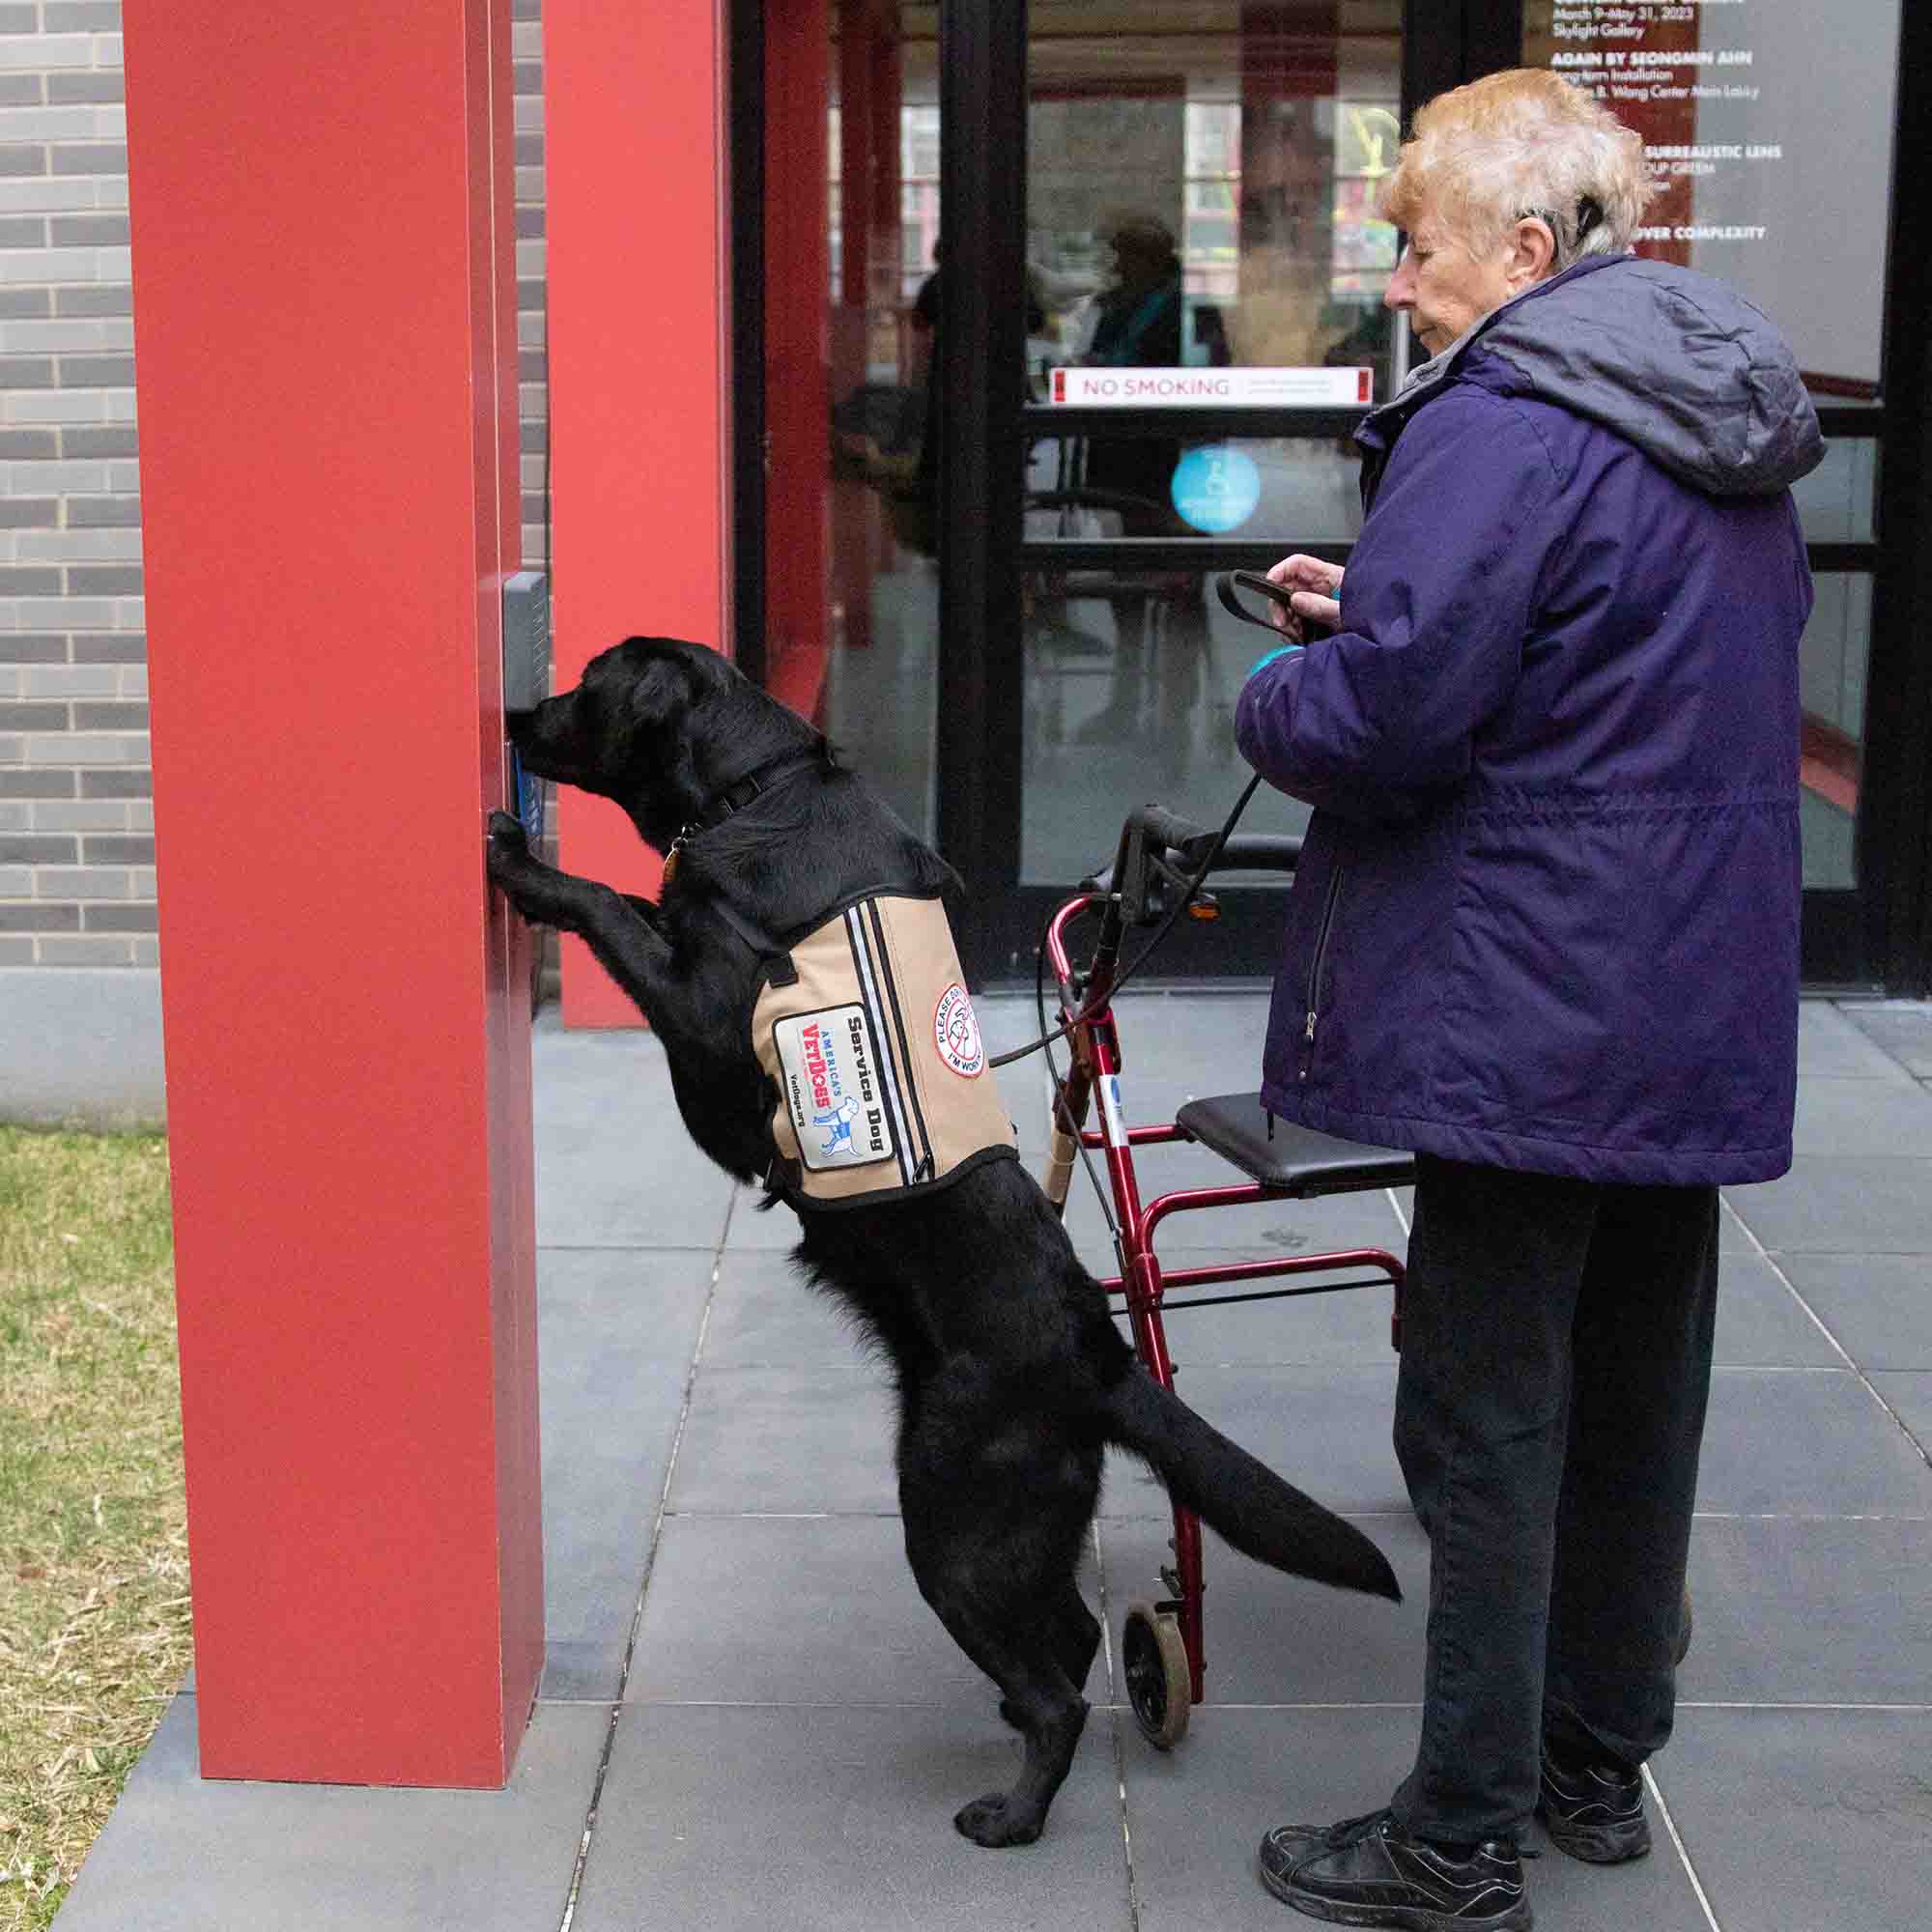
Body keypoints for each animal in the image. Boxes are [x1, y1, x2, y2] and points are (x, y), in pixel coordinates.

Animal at [481, 634, 1391, 1839]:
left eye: (585, 682)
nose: (513, 714)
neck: (751, 790)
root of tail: (1102, 1355)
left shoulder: (711, 1023)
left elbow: (614, 905)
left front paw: (522, 865)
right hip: (1013, 1516)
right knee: (1073, 1635)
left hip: (950, 1513)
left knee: (1057, 1687)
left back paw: (1011, 1814)